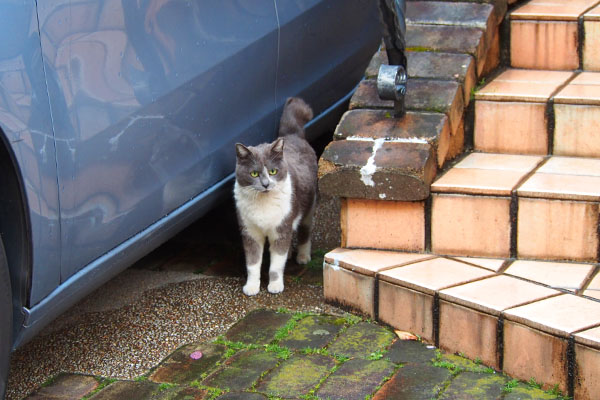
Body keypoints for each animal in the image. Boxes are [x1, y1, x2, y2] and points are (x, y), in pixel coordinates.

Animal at [234, 98, 318, 296]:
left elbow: (276, 265)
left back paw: (302, 256)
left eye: (273, 171)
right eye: (254, 173)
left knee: (305, 231)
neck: (263, 203)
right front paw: (251, 287)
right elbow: (252, 264)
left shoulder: (281, 228)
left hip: (308, 207)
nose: (266, 184)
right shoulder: (250, 232)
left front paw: (275, 286)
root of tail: (292, 135)